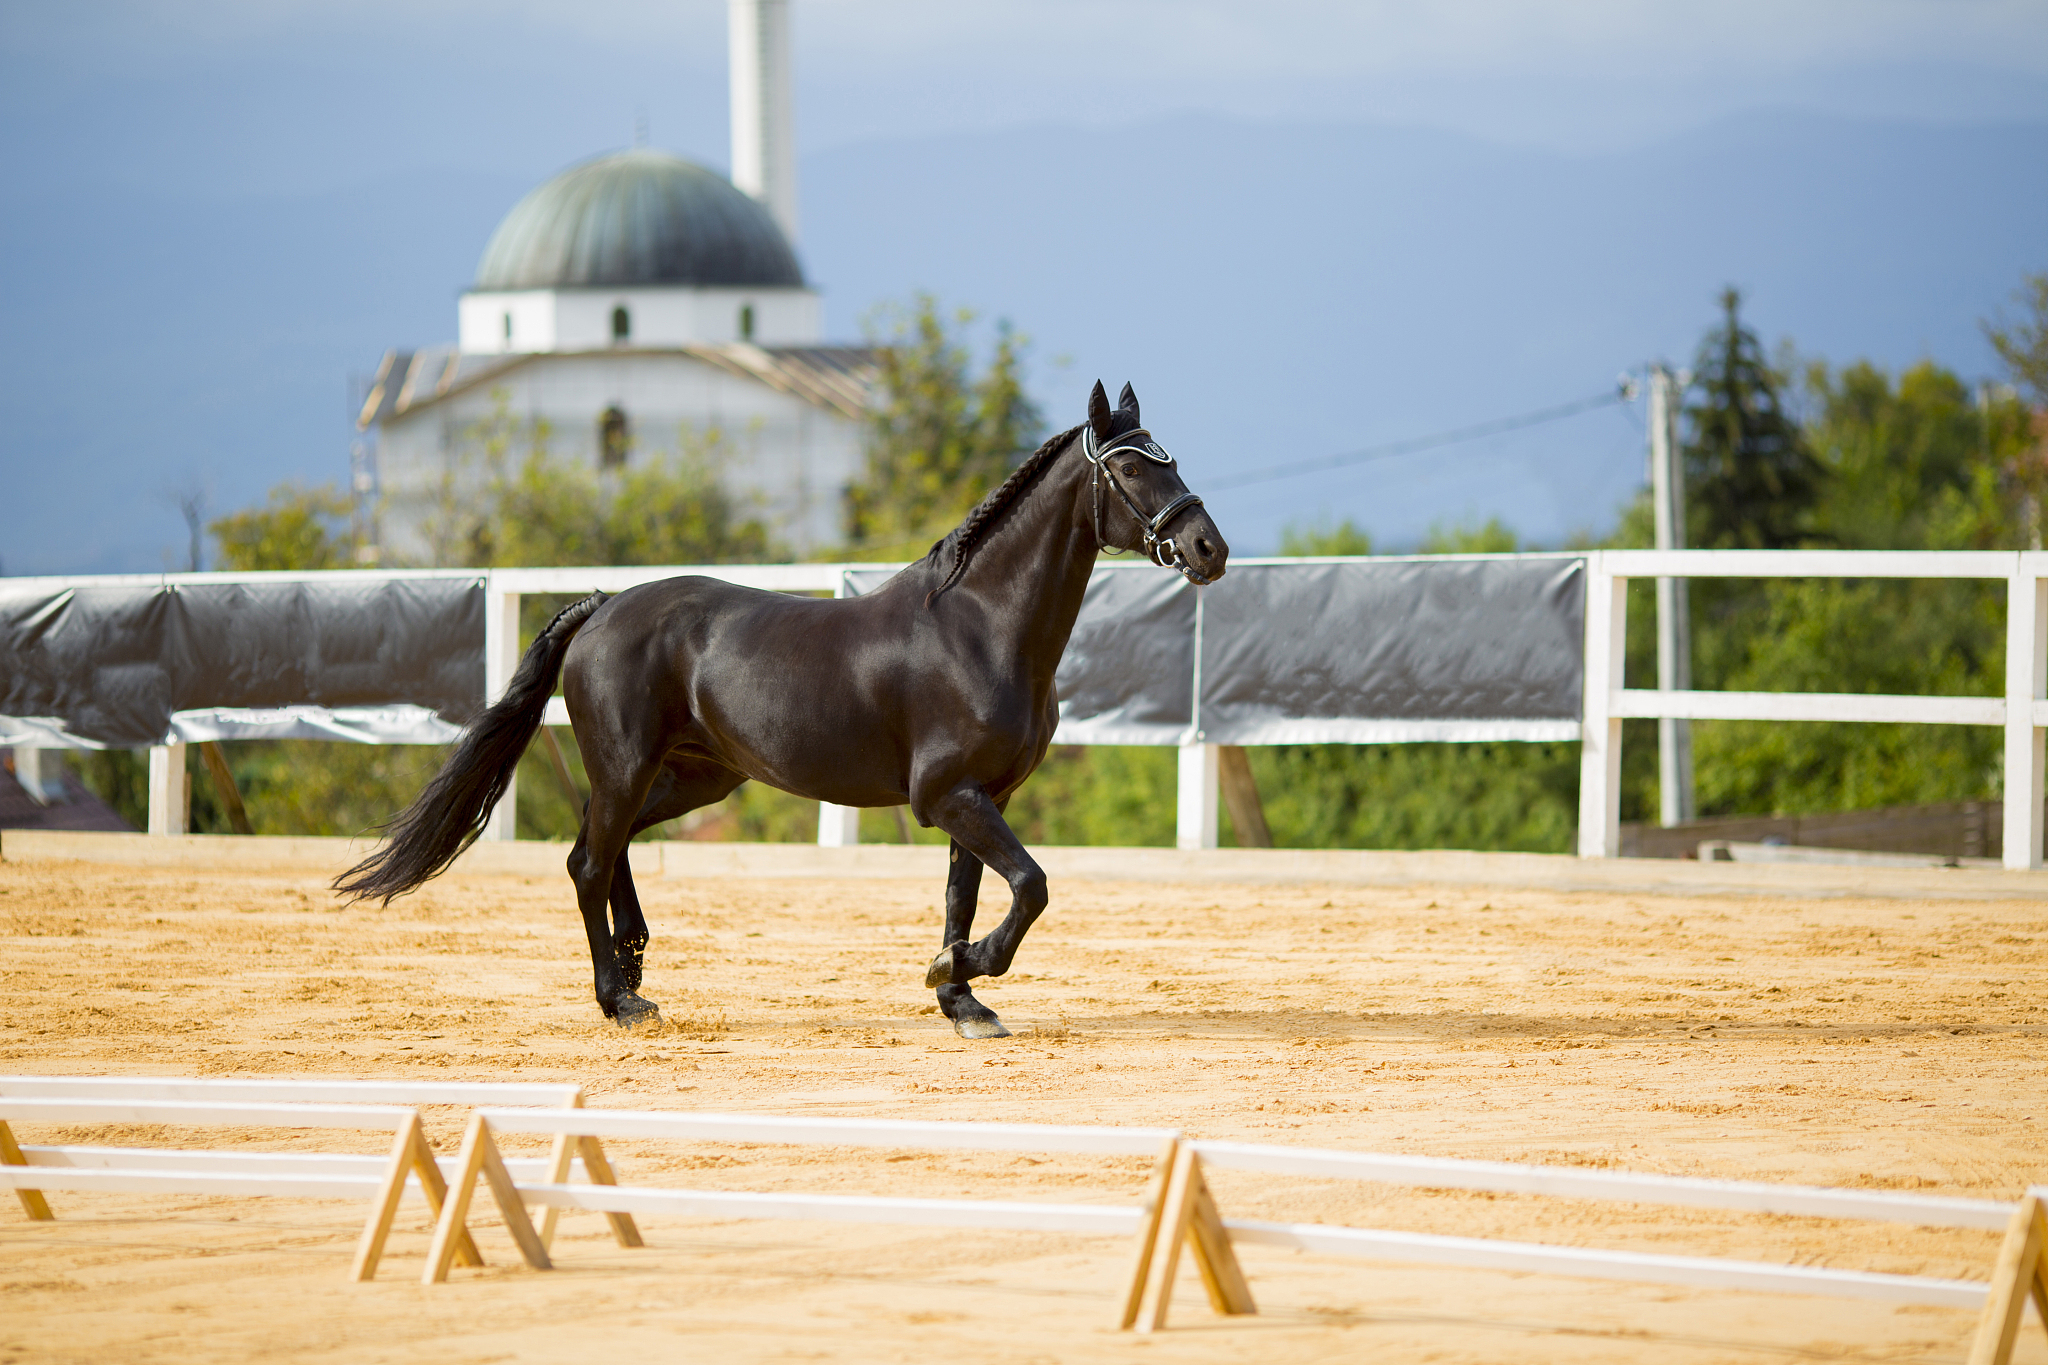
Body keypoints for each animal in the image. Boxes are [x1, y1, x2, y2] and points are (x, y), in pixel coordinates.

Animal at [335, 381, 1229, 1038]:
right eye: (1132, 471)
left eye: (1172, 459)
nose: (1208, 548)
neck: (979, 626)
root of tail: (604, 605)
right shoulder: (948, 795)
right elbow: (1032, 886)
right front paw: (954, 972)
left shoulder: (981, 797)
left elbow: (968, 897)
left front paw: (962, 997)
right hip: (631, 764)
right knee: (588, 859)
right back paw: (618, 999)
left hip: (695, 777)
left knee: (603, 840)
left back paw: (635, 963)